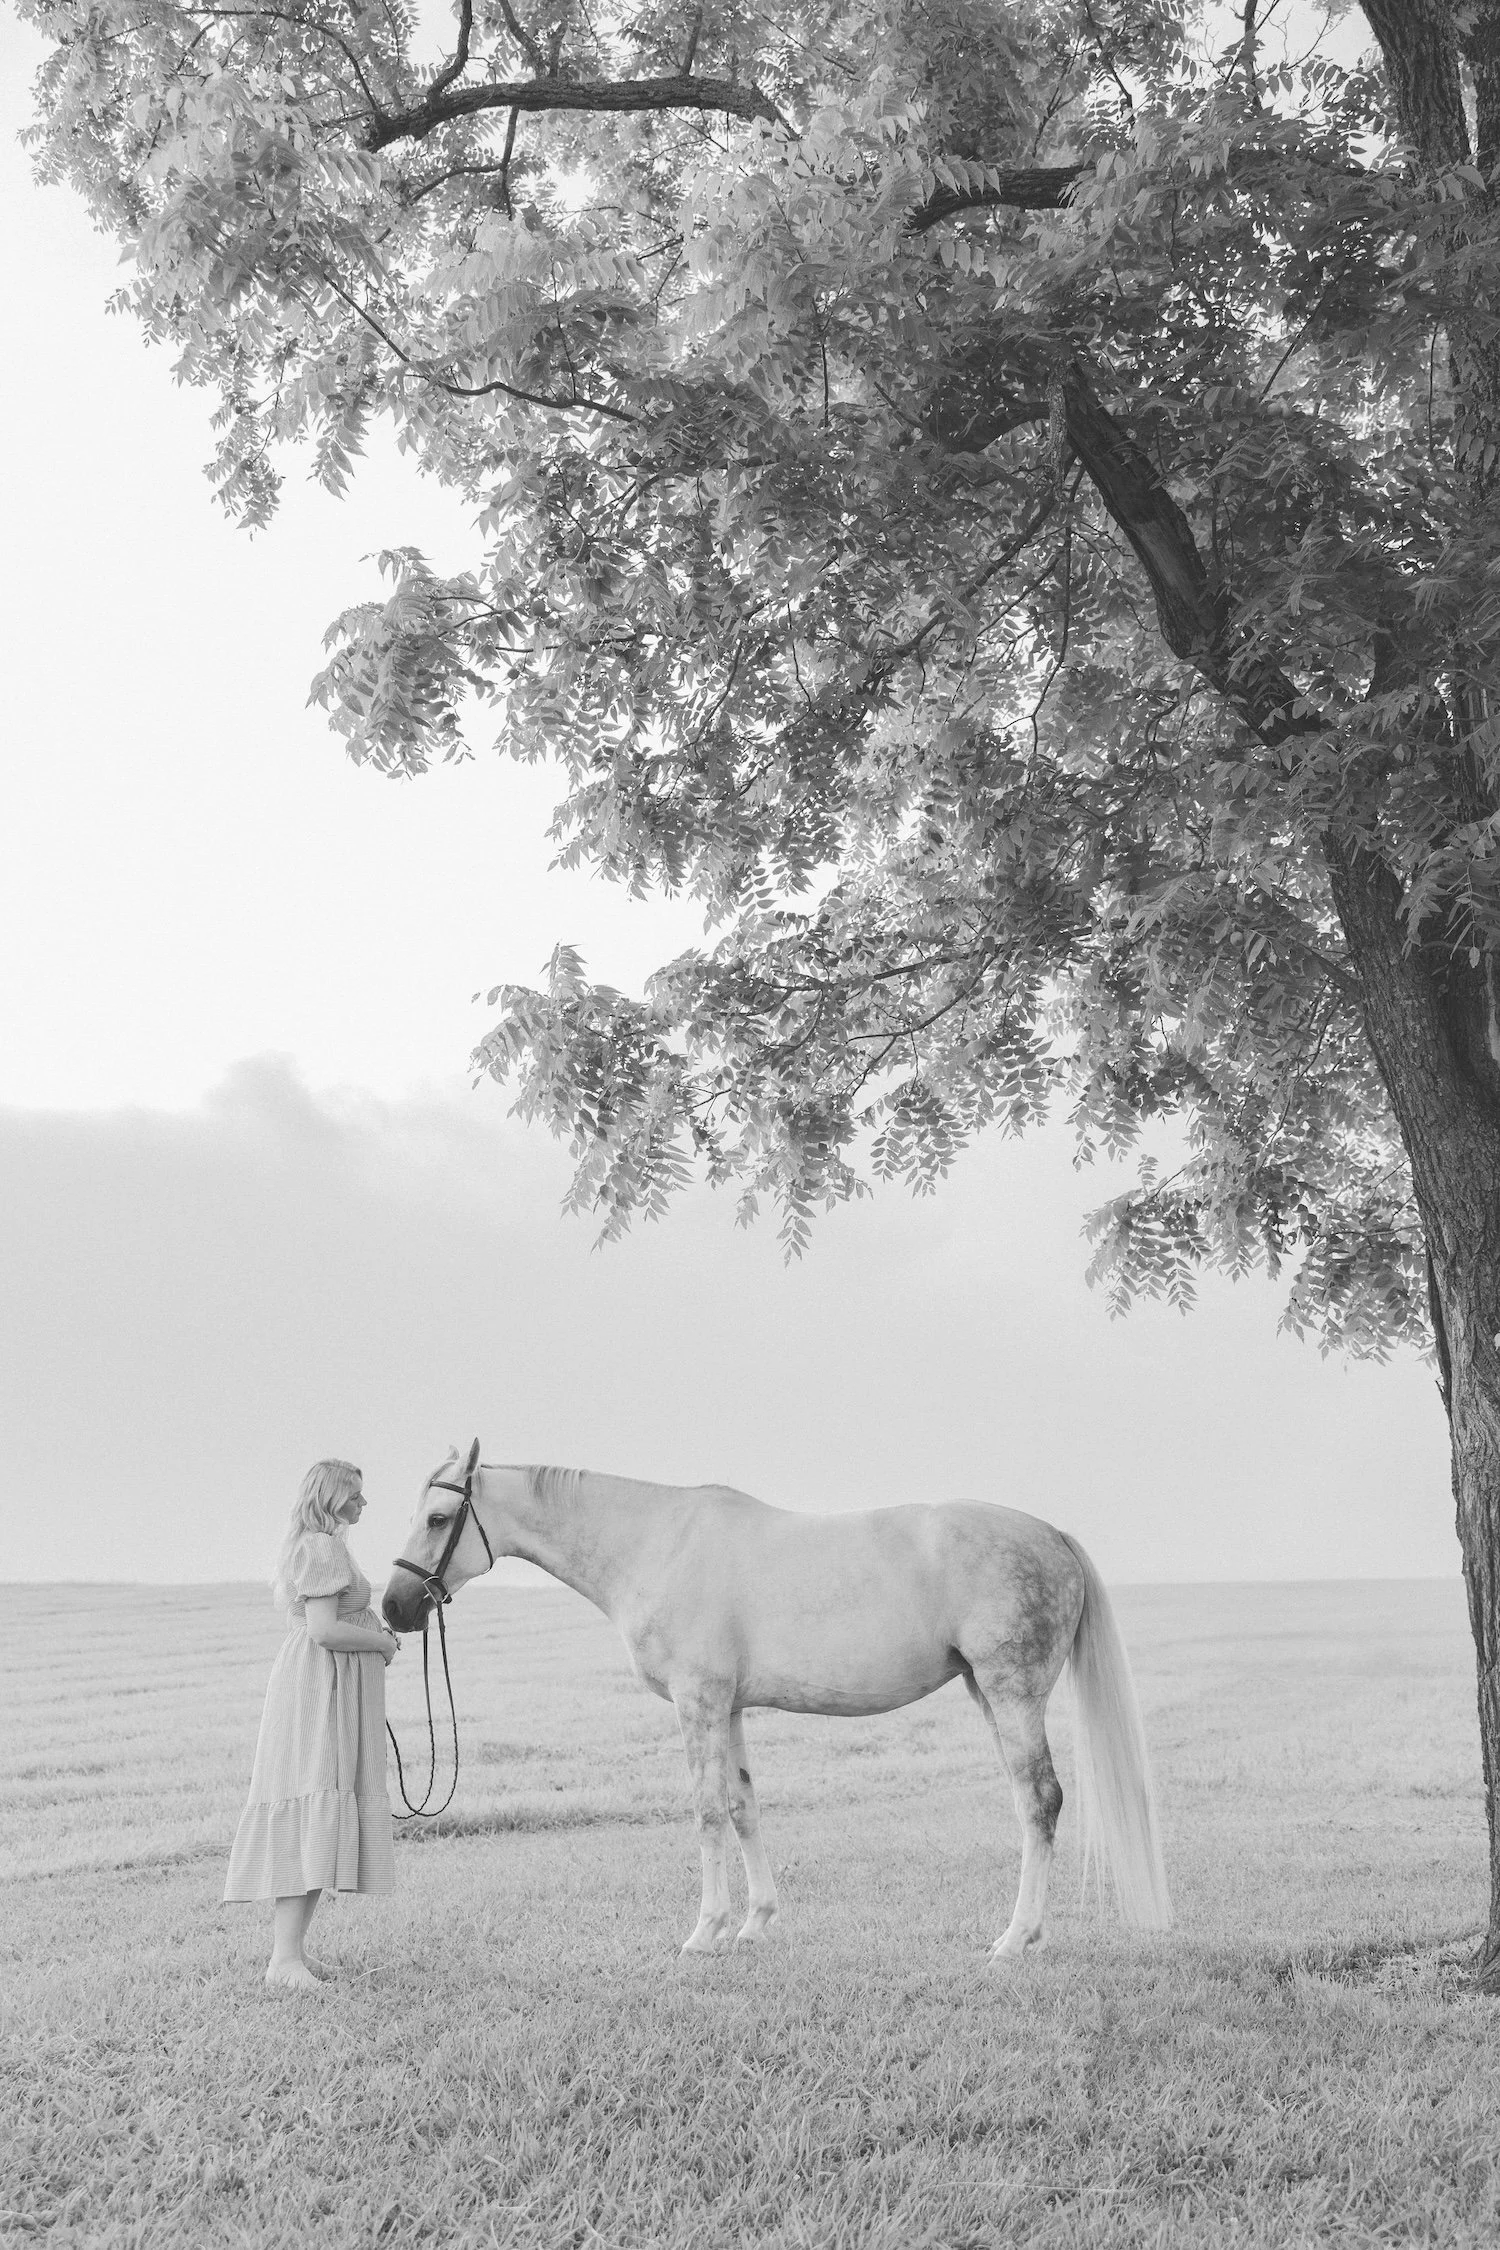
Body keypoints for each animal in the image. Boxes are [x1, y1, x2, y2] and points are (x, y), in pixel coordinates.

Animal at [382, 1449, 1171, 1956]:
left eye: (438, 1516)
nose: (394, 1607)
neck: (655, 1543)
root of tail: (1051, 1534)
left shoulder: (697, 1703)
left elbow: (705, 1812)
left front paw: (704, 1933)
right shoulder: (728, 1707)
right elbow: (742, 1806)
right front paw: (755, 1922)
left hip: (1011, 1692)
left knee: (1040, 1800)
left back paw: (1015, 1938)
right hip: (988, 1692)